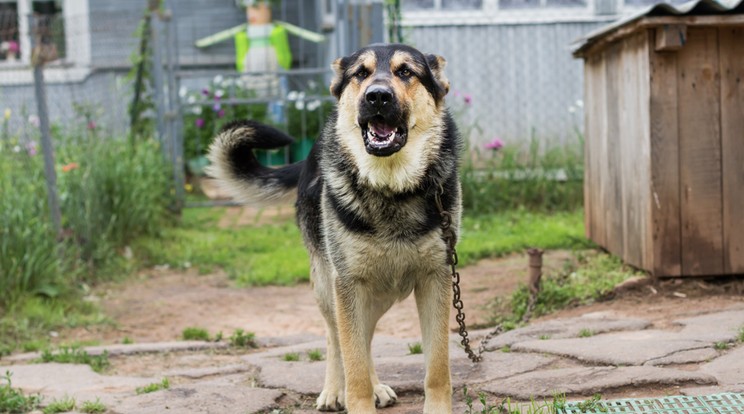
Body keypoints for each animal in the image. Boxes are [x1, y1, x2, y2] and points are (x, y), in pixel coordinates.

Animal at [208, 43, 460, 412]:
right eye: (361, 74)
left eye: (405, 72)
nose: (377, 96)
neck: (389, 186)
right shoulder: (349, 283)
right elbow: (352, 366)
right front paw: (351, 394)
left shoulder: (435, 280)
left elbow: (437, 370)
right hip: (331, 286)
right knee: (336, 336)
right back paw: (332, 391)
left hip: (378, 291)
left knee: (363, 337)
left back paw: (375, 386)